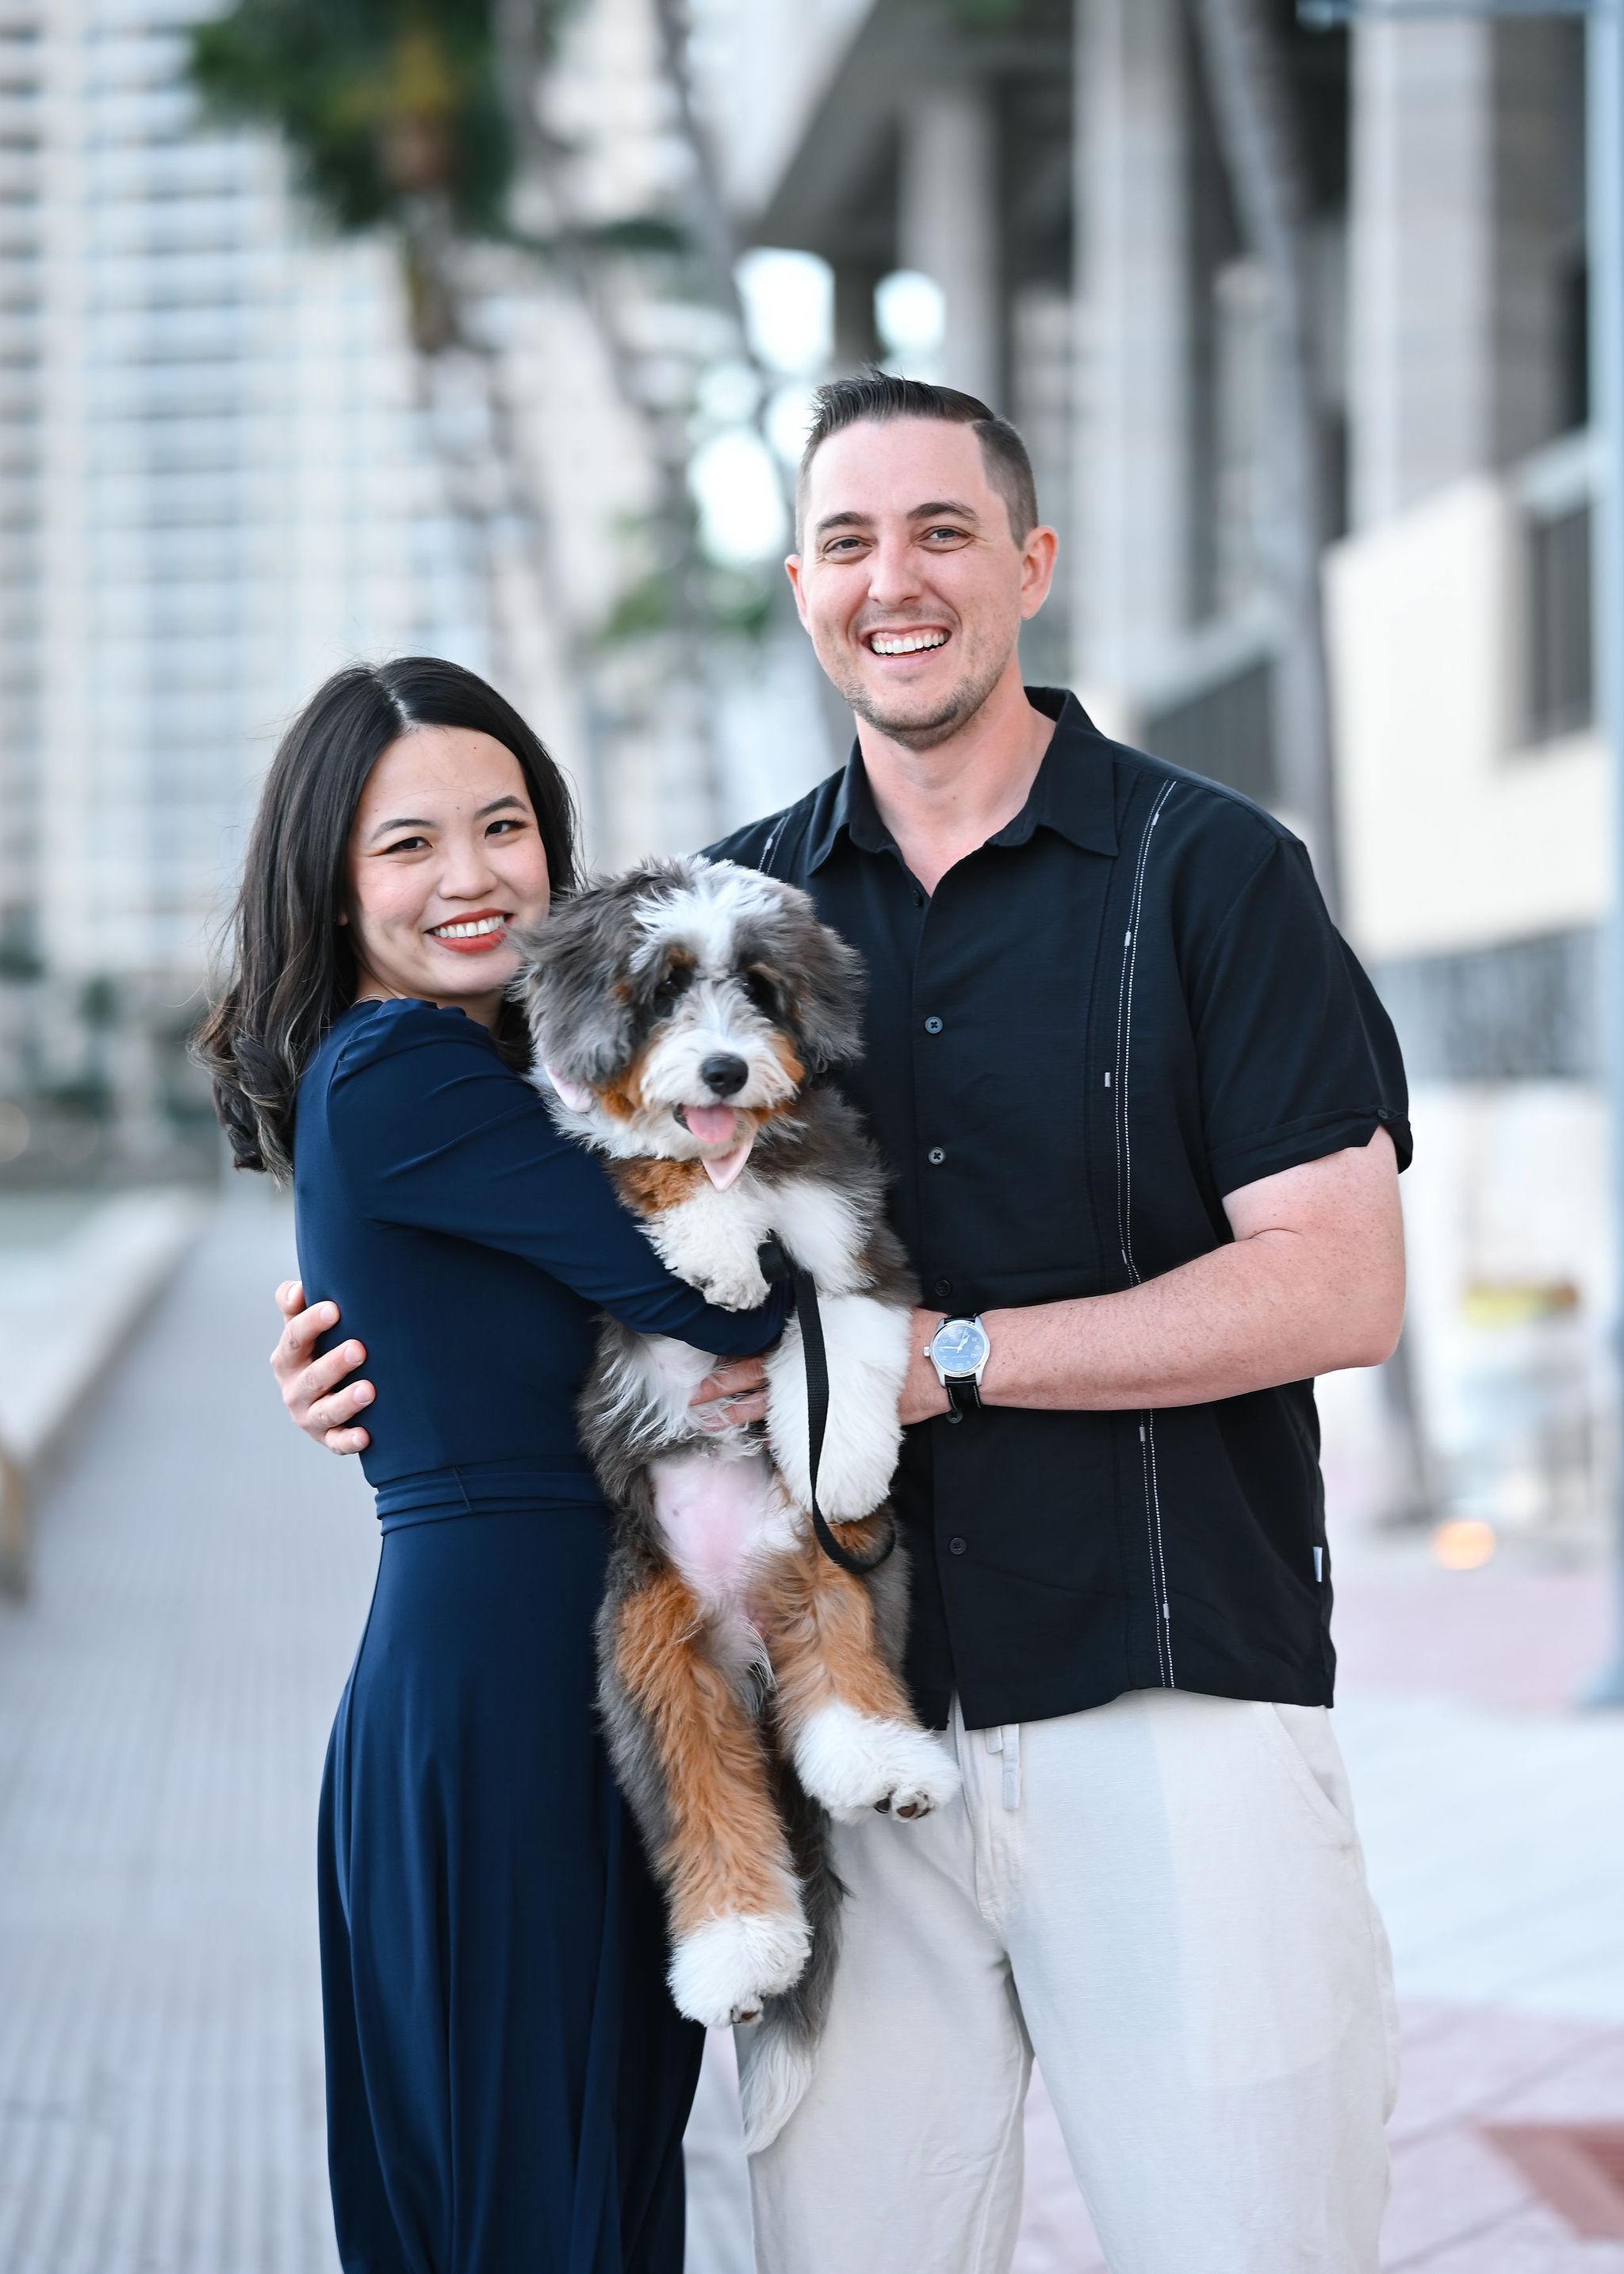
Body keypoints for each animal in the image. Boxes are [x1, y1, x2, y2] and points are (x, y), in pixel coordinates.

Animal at [511, 854, 955, 2146]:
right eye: (663, 988)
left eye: (756, 988)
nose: (720, 1071)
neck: (747, 1159)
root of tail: (743, 1625)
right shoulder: (592, 1157)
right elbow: (639, 1160)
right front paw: (711, 1244)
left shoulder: (854, 1243)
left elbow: (846, 1334)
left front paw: (844, 1448)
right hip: (651, 1657)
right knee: (708, 1802)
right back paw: (737, 1956)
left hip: (841, 1567)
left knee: (841, 1679)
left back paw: (880, 1765)